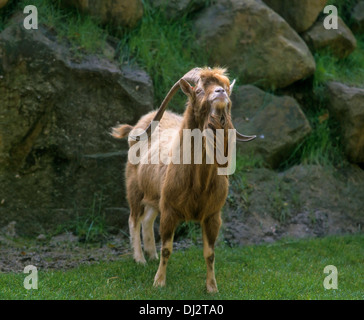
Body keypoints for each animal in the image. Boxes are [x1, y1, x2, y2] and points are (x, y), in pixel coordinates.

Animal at [111, 67, 256, 292]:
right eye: (198, 90)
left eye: (224, 86)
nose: (221, 92)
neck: (198, 182)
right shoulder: (169, 210)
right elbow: (167, 249)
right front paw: (159, 282)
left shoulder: (213, 215)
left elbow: (210, 254)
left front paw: (212, 287)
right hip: (134, 188)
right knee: (134, 218)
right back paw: (140, 259)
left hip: (155, 196)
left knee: (147, 220)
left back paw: (151, 256)